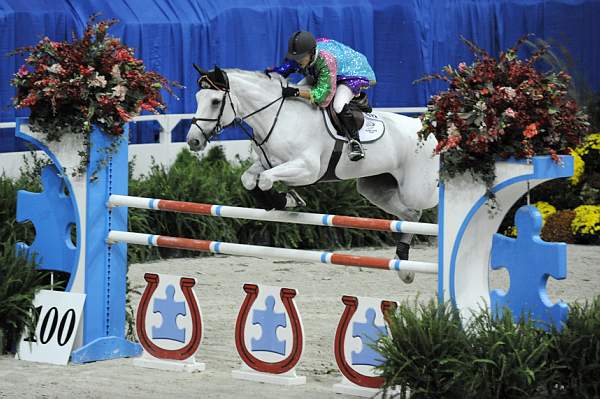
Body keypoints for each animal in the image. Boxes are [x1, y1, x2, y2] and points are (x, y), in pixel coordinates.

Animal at [185, 66, 438, 284]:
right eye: (197, 98)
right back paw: (403, 267)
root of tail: (427, 131)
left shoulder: (307, 169)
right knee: (410, 215)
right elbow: (250, 179)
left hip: (418, 190)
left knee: (422, 208)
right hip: (375, 188)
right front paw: (284, 200)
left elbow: (266, 180)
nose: (193, 141)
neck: (277, 116)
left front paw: (286, 199)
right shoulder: (269, 162)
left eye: (215, 101)